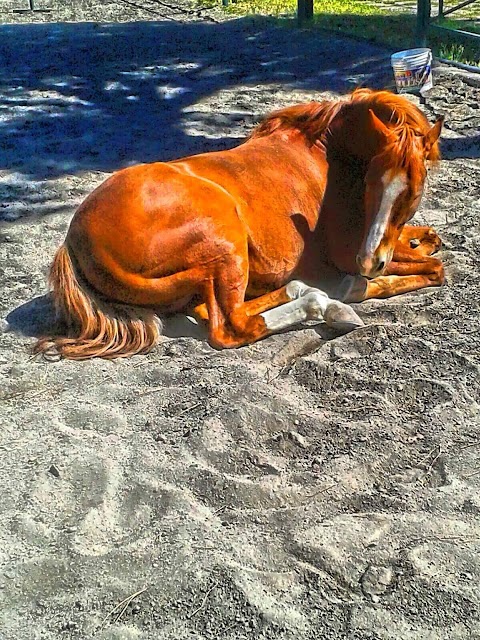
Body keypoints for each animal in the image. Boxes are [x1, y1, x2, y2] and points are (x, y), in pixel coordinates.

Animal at [35, 89, 444, 360]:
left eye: (414, 187)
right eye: (373, 180)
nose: (370, 261)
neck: (326, 153)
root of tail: (75, 240)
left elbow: (426, 241)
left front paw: (425, 239)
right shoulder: (351, 250)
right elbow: (434, 270)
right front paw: (362, 285)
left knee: (224, 308)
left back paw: (312, 294)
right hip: (227, 245)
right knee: (231, 325)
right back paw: (325, 305)